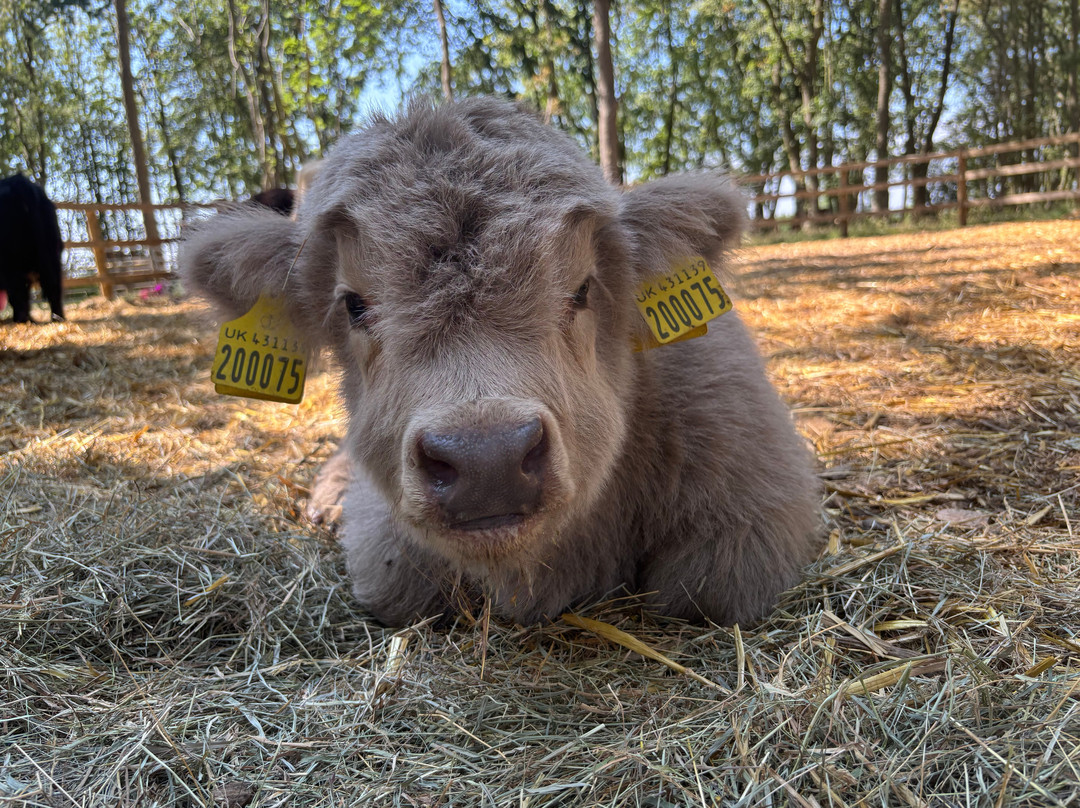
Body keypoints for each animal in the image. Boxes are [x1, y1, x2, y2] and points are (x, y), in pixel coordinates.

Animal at [0, 173, 65, 324]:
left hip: (11, 260)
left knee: (18, 291)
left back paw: (22, 319)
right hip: (52, 252)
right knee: (53, 285)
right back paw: (57, 318)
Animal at [181, 98, 821, 627]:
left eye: (582, 289)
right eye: (354, 304)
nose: (486, 459)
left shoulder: (749, 510)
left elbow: (703, 589)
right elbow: (398, 585)